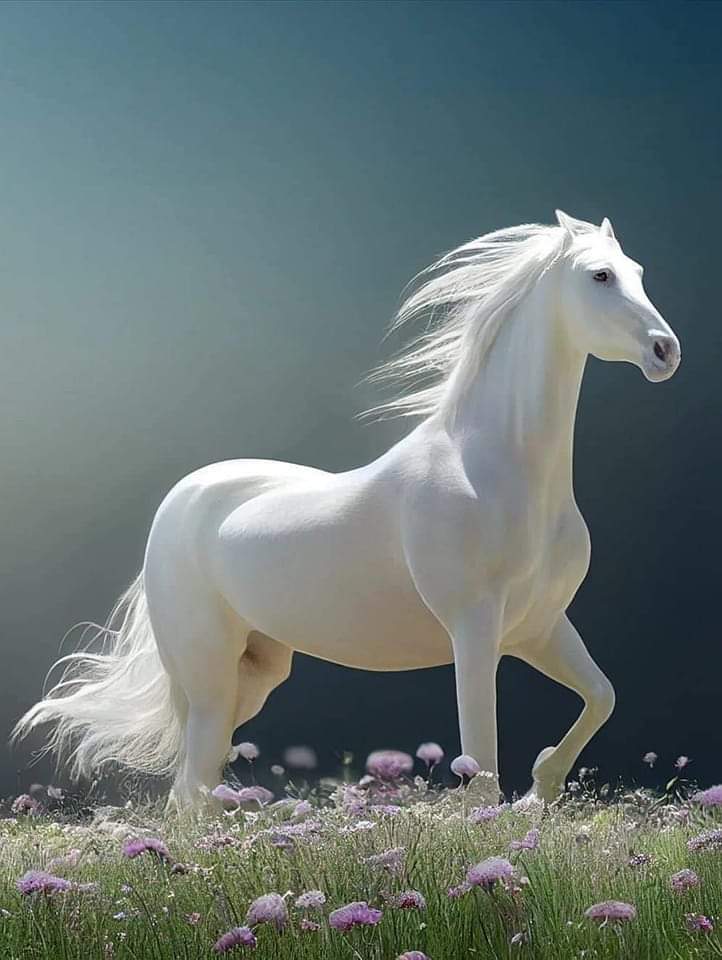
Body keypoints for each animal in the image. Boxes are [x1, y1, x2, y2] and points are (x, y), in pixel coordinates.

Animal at [13, 210, 681, 810]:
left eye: (640, 271)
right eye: (600, 275)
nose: (664, 351)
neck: (495, 468)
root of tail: (179, 500)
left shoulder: (539, 628)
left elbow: (602, 697)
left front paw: (541, 786)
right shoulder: (474, 630)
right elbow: (481, 765)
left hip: (253, 677)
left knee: (193, 791)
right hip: (209, 677)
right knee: (191, 792)